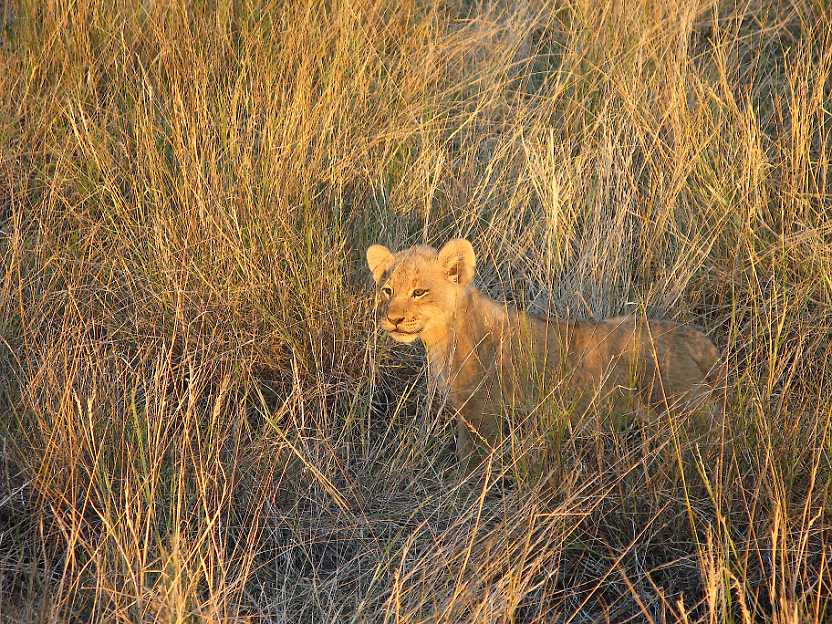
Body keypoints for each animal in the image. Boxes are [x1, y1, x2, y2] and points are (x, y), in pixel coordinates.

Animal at [366, 239, 723, 475]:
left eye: (419, 291)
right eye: (387, 290)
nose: (393, 319)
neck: (442, 338)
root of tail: (693, 336)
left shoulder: (482, 411)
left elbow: (473, 459)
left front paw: (464, 490)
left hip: (686, 410)